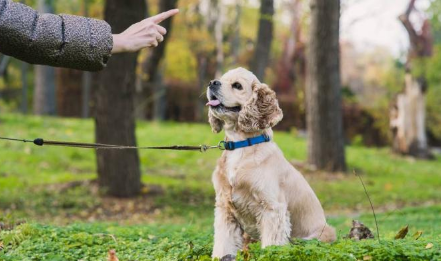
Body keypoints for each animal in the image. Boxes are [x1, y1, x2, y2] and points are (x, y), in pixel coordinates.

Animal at [205, 67, 334, 258]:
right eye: (221, 79)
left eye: (237, 85)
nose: (212, 83)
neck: (241, 145)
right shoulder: (224, 208)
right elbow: (223, 243)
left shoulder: (272, 209)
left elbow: (272, 245)